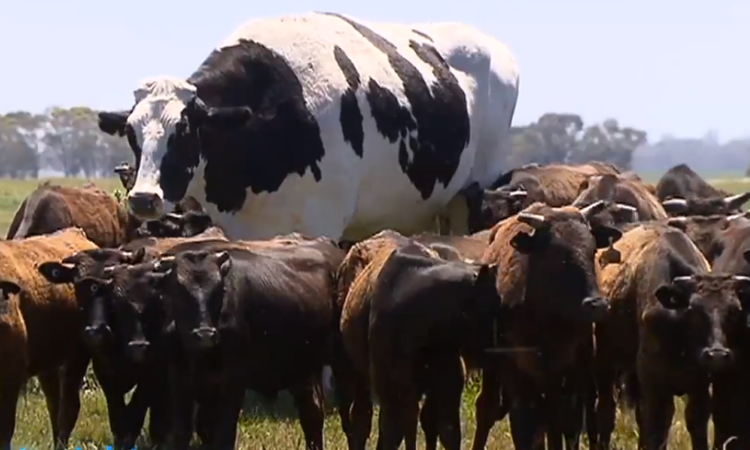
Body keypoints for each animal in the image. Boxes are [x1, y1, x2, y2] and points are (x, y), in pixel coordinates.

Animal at [472, 200, 624, 450]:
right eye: (556, 254)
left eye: (593, 250)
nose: (597, 305)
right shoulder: (519, 379)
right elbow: (523, 428)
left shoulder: (572, 378)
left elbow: (566, 427)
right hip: (494, 371)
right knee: (487, 409)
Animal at [592, 222, 750, 450]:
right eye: (694, 311)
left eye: (735, 311)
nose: (717, 355)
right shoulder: (654, 382)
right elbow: (657, 426)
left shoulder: (700, 386)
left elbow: (696, 422)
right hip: (605, 362)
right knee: (606, 409)